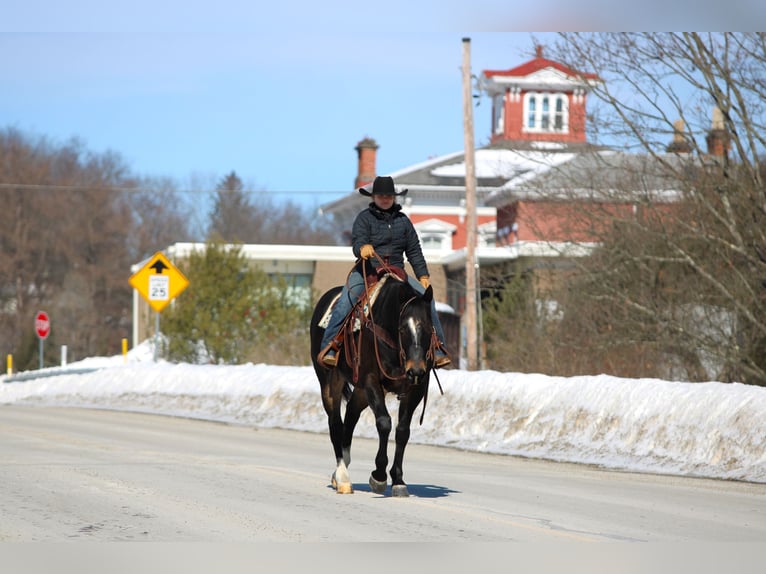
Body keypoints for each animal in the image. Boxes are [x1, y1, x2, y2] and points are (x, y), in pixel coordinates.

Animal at [309, 269, 440, 497]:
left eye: (428, 327)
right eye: (402, 328)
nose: (415, 370)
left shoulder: (416, 388)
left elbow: (402, 431)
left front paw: (398, 480)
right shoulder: (371, 380)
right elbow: (384, 423)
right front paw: (379, 476)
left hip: (360, 392)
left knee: (350, 418)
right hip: (329, 383)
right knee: (336, 423)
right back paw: (342, 477)